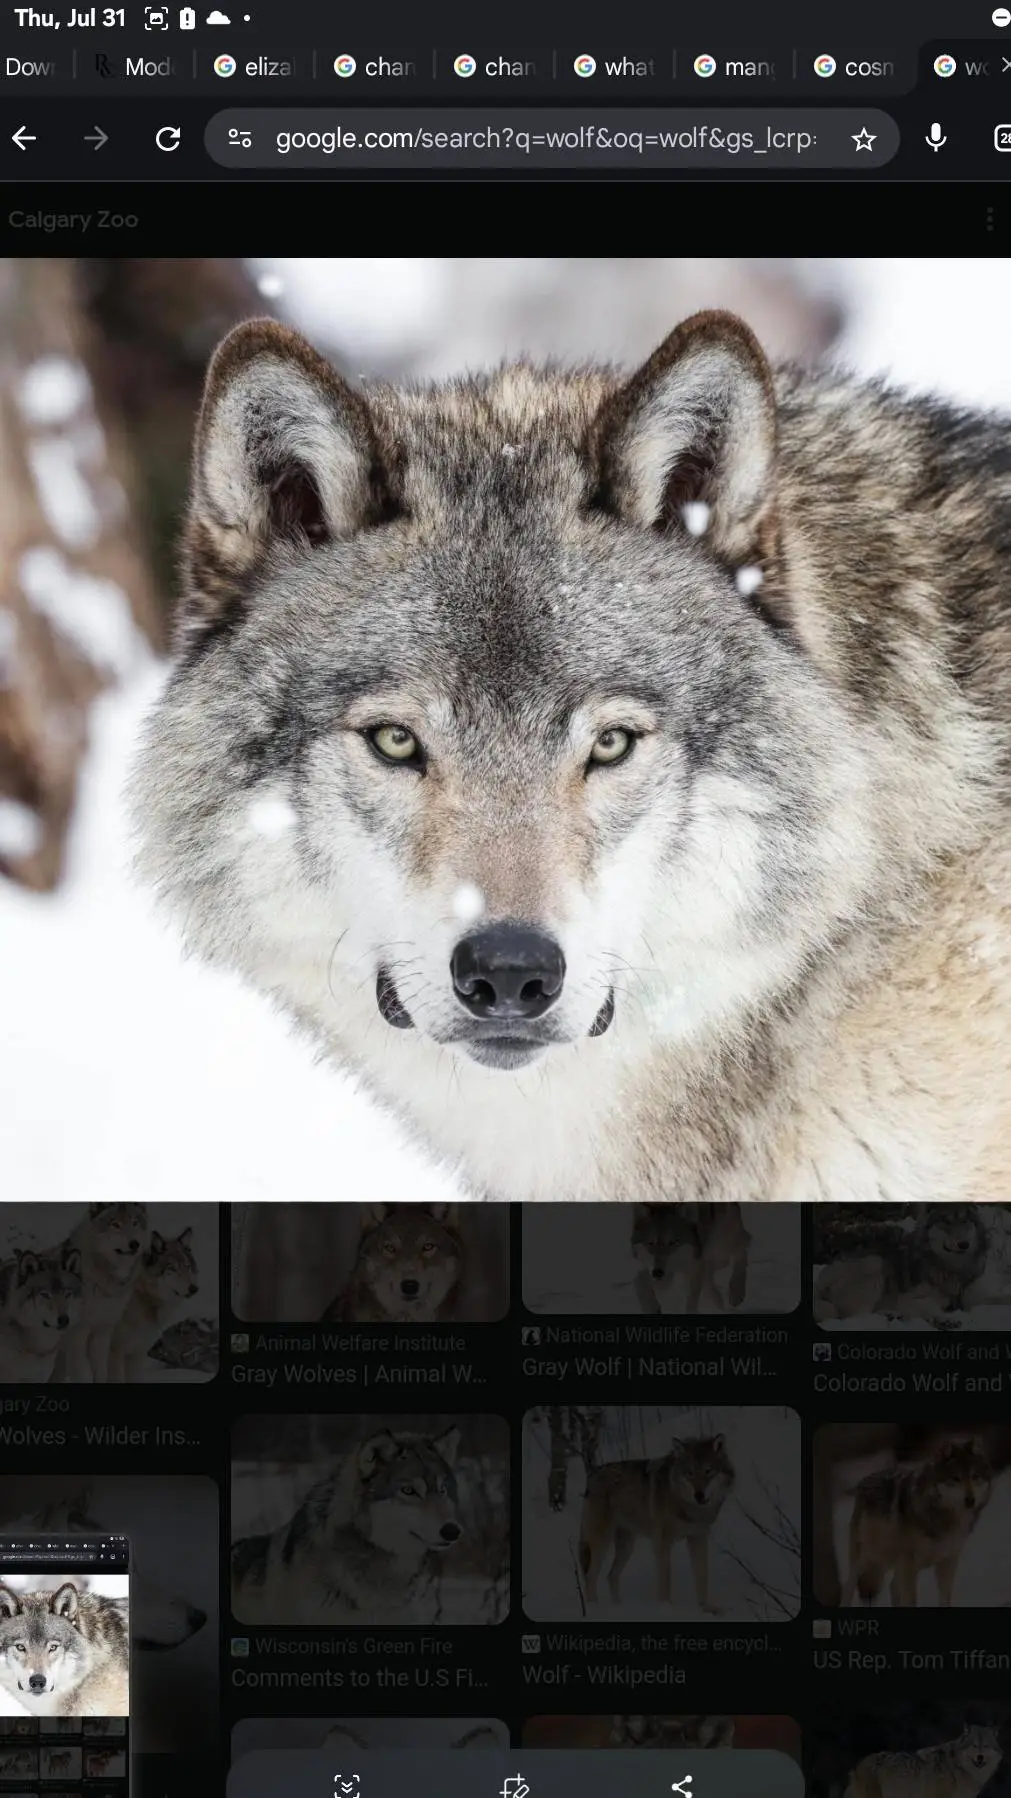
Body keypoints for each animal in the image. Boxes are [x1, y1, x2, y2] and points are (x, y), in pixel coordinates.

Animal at [51, 1205, 150, 1383]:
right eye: (115, 1224)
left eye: (135, 1223)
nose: (134, 1244)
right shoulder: (78, 1334)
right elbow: (82, 1373)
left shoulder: (103, 1332)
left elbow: (101, 1372)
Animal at [106, 1226, 199, 1382]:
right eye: (172, 1268)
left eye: (187, 1267)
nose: (194, 1289)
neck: (142, 1295)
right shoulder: (115, 1353)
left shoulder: (137, 1354)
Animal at [578, 1433, 734, 1610]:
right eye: (690, 1473)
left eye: (709, 1471)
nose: (699, 1495)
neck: (688, 1506)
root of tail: (592, 1474)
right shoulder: (662, 1543)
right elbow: (665, 1581)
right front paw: (666, 1606)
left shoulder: (698, 1538)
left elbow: (702, 1576)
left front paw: (705, 1607)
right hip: (600, 1544)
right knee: (590, 1576)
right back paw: (593, 1607)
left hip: (626, 1547)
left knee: (611, 1576)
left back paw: (618, 1605)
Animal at [814, 1205, 990, 1323]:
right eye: (946, 1221)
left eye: (965, 1221)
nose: (964, 1244)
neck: (949, 1267)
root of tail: (819, 1283)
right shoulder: (906, 1298)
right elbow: (928, 1304)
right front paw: (944, 1318)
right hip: (874, 1264)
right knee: (854, 1316)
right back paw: (891, 1315)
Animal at [842, 1436, 993, 1608]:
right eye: (955, 1478)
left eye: (975, 1476)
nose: (970, 1500)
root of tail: (863, 1482)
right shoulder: (910, 1565)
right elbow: (911, 1600)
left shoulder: (948, 1561)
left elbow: (944, 1598)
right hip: (869, 1560)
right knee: (848, 1587)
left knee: (892, 1586)